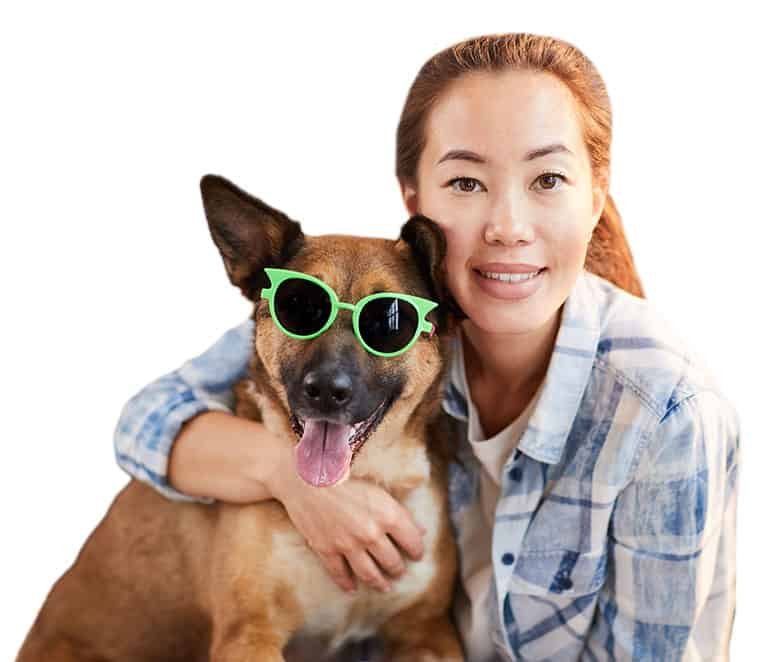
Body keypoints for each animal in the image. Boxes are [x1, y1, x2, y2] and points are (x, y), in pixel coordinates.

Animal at [17, 175, 466, 662]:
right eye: (298, 307)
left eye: (390, 322)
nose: (326, 391)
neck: (361, 480)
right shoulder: (248, 633)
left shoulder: (426, 630)